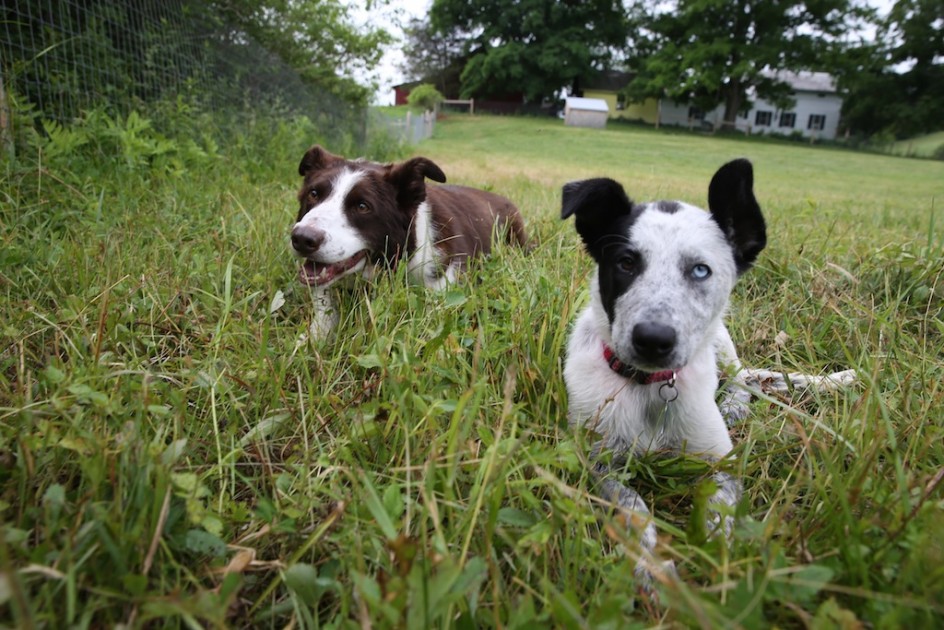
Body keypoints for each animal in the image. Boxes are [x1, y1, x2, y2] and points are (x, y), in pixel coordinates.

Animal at [560, 160, 768, 592]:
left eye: (700, 270)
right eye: (626, 263)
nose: (653, 340)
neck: (649, 387)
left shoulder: (719, 463)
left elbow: (720, 508)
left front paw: (719, 557)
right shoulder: (599, 462)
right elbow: (633, 508)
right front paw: (649, 567)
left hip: (723, 343)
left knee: (743, 377)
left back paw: (735, 404)